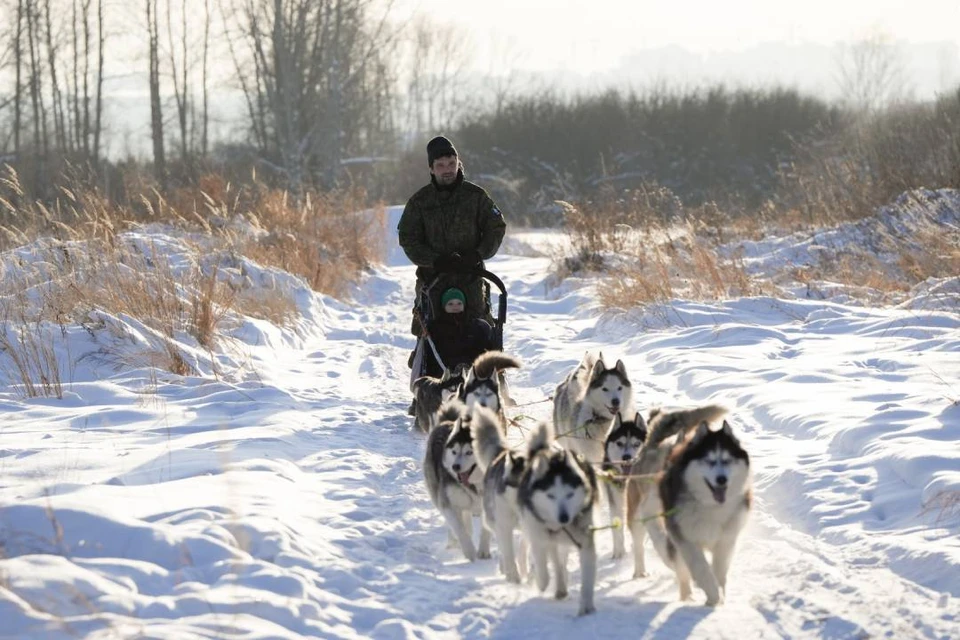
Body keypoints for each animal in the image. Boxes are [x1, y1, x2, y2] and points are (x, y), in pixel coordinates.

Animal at [424, 402, 492, 564]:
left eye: (469, 452)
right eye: (454, 452)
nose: (455, 467)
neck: (473, 485)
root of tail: (446, 422)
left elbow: (485, 529)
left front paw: (483, 551)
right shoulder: (447, 504)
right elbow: (459, 528)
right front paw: (469, 551)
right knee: (455, 524)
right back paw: (453, 541)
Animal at [512, 420, 596, 616]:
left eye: (570, 494)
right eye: (550, 496)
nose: (564, 517)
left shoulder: (585, 541)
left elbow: (587, 574)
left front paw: (586, 606)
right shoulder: (539, 534)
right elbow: (542, 562)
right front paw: (542, 583)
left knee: (560, 560)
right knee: (554, 560)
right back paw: (557, 587)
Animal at [624, 404, 752, 604]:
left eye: (726, 461)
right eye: (708, 461)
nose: (721, 479)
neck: (708, 505)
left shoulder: (725, 541)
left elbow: (718, 571)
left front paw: (718, 595)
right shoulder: (680, 534)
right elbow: (695, 564)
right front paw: (712, 595)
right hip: (637, 516)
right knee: (640, 545)